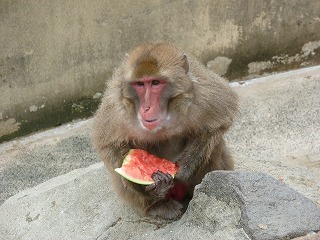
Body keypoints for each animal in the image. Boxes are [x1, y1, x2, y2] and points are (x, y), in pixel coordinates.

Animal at [92, 42, 238, 219]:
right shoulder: (117, 107)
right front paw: (145, 186)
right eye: (140, 84)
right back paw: (158, 204)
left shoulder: (202, 92)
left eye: (155, 82)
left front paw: (186, 166)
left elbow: (220, 120)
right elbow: (108, 144)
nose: (146, 108)